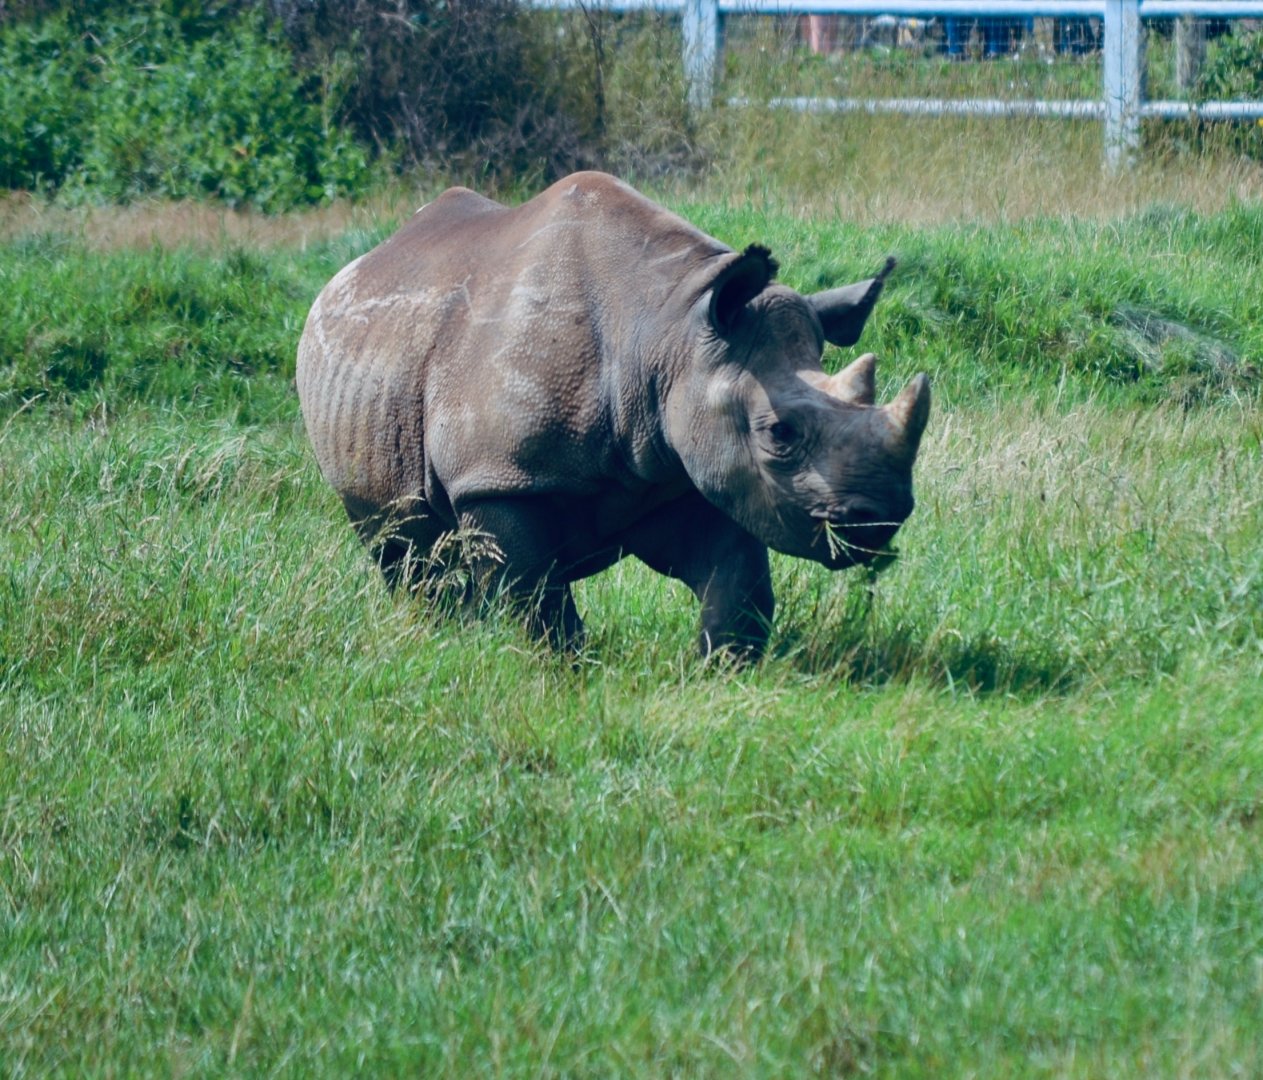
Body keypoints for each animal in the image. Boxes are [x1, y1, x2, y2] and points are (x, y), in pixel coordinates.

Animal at [297, 171, 929, 658]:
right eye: (781, 432)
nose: (881, 517)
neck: (667, 330)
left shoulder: (684, 465)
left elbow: (740, 584)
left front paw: (720, 669)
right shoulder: (496, 478)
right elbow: (535, 599)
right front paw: (561, 672)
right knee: (399, 546)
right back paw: (435, 634)